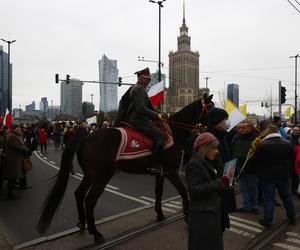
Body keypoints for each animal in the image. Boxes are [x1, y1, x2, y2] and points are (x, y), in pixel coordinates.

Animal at [37, 94, 214, 242]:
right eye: (211, 108)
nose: (216, 129)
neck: (174, 132)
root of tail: (85, 137)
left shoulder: (161, 172)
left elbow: (159, 192)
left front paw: (160, 214)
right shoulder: (172, 171)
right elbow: (184, 191)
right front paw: (187, 217)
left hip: (90, 175)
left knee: (79, 194)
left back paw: (82, 223)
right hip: (102, 176)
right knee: (90, 200)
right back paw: (96, 234)